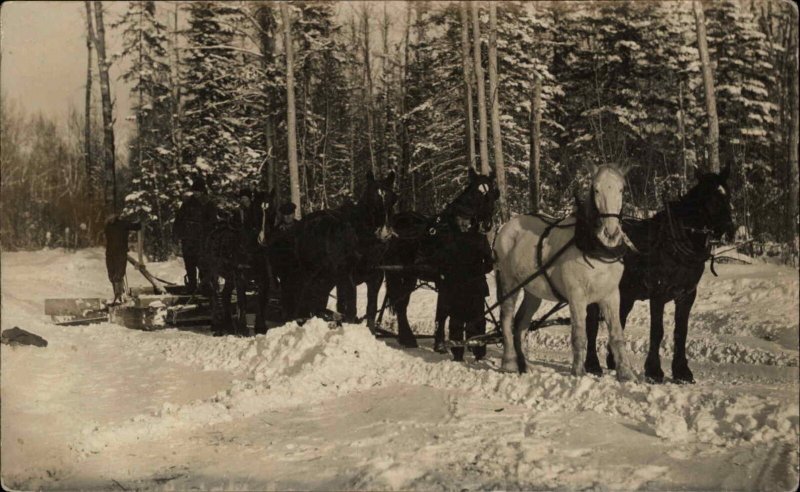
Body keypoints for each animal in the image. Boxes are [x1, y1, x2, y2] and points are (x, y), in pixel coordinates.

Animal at [266, 171, 396, 320]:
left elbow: (371, 311)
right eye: (371, 199)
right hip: (306, 273)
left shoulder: (375, 278)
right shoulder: (347, 277)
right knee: (298, 296)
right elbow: (351, 311)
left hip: (325, 278)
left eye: (393, 200)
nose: (384, 233)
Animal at [382, 169, 500, 350]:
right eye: (476, 194)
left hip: (410, 275)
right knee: (401, 304)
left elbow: (446, 310)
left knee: (402, 303)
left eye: (493, 193)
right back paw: (407, 338)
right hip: (397, 273)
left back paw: (405, 337)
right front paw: (440, 344)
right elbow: (443, 310)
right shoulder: (445, 278)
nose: (486, 223)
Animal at [494, 164, 636, 380]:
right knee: (507, 318)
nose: (611, 232)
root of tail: (505, 227)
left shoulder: (611, 295)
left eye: (621, 189)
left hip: (532, 291)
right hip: (510, 282)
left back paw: (525, 365)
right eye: (596, 189)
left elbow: (617, 336)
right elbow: (579, 336)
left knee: (520, 323)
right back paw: (509, 363)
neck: (596, 249)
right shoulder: (576, 295)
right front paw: (578, 372)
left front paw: (625, 374)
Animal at [580, 165, 736, 384]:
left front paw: (682, 372)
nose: (730, 229)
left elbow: (681, 332)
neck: (676, 242)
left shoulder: (687, 295)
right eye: (709, 197)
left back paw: (613, 361)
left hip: (626, 295)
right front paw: (654, 371)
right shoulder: (658, 293)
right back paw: (593, 364)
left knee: (619, 319)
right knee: (592, 324)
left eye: (727, 194)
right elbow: (657, 331)